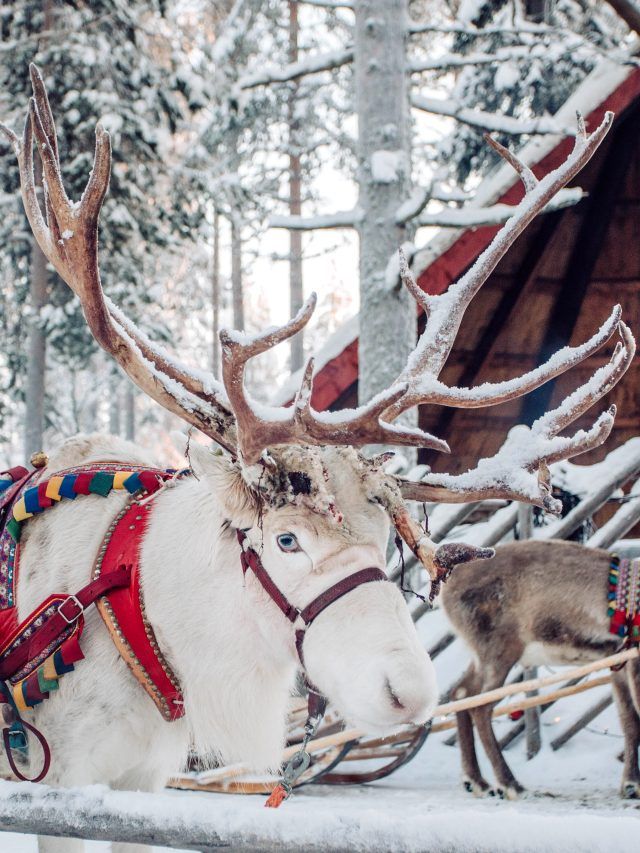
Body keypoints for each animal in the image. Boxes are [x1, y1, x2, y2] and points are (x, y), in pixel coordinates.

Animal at [441, 539, 640, 800]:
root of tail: (445, 592)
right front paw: (633, 785)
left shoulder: (616, 658)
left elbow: (629, 720)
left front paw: (630, 784)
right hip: (499, 651)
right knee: (481, 707)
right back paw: (510, 784)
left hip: (481, 655)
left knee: (461, 693)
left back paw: (476, 781)